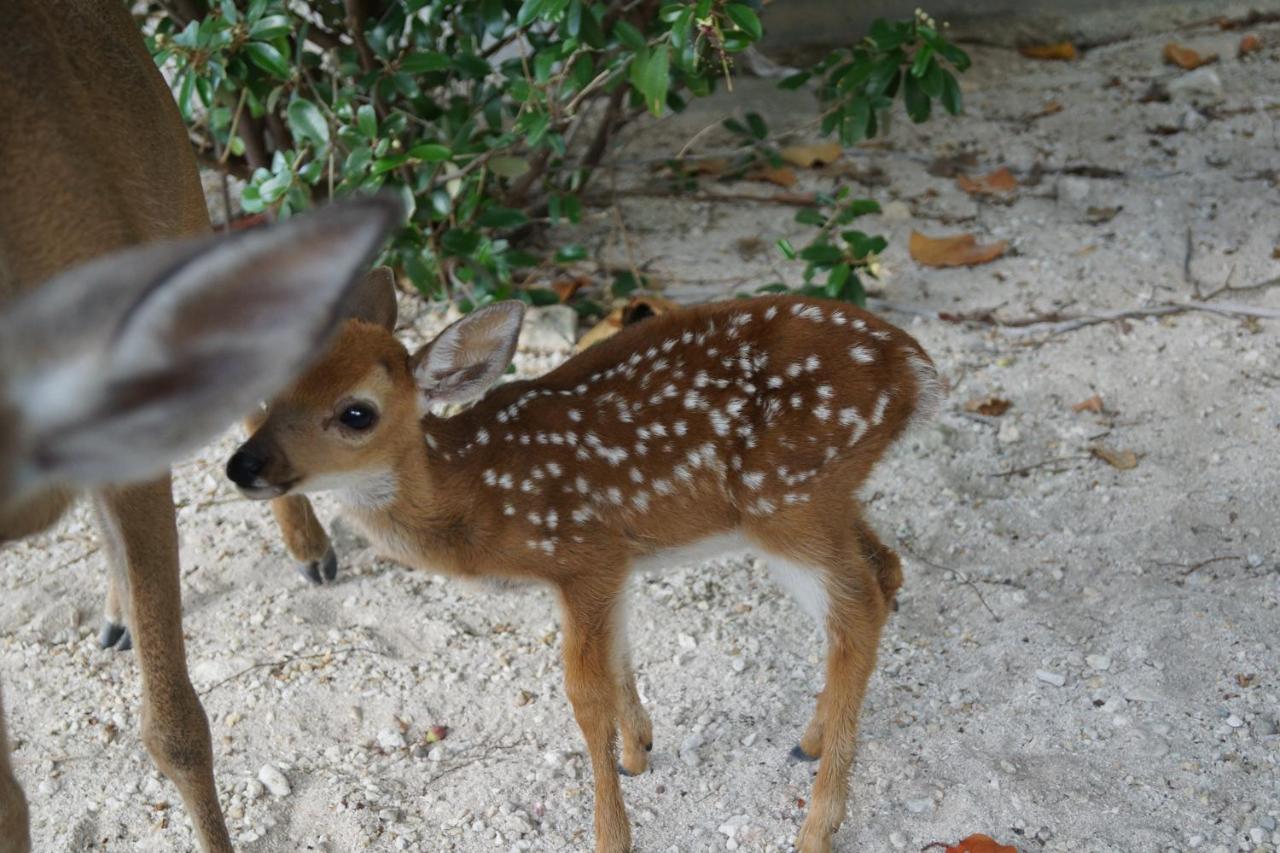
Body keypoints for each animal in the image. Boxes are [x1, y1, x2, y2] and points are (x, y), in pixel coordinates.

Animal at [227, 270, 943, 853]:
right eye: (268, 389)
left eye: (357, 413)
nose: (243, 466)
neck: (477, 494)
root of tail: (916, 367)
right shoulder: (614, 563)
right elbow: (621, 660)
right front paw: (639, 751)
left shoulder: (581, 552)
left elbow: (584, 693)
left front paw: (612, 836)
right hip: (825, 499)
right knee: (885, 568)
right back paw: (810, 741)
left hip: (787, 500)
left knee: (857, 608)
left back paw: (817, 828)